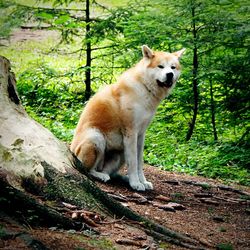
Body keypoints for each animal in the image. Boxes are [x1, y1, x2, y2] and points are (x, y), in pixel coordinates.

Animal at [70, 45, 186, 190]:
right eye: (160, 66)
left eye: (173, 67)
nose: (169, 74)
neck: (144, 88)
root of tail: (71, 153)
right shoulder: (131, 133)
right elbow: (133, 163)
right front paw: (136, 183)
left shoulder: (141, 135)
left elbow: (139, 162)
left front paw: (143, 181)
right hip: (96, 137)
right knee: (88, 169)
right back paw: (101, 176)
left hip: (120, 152)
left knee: (110, 173)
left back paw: (120, 177)